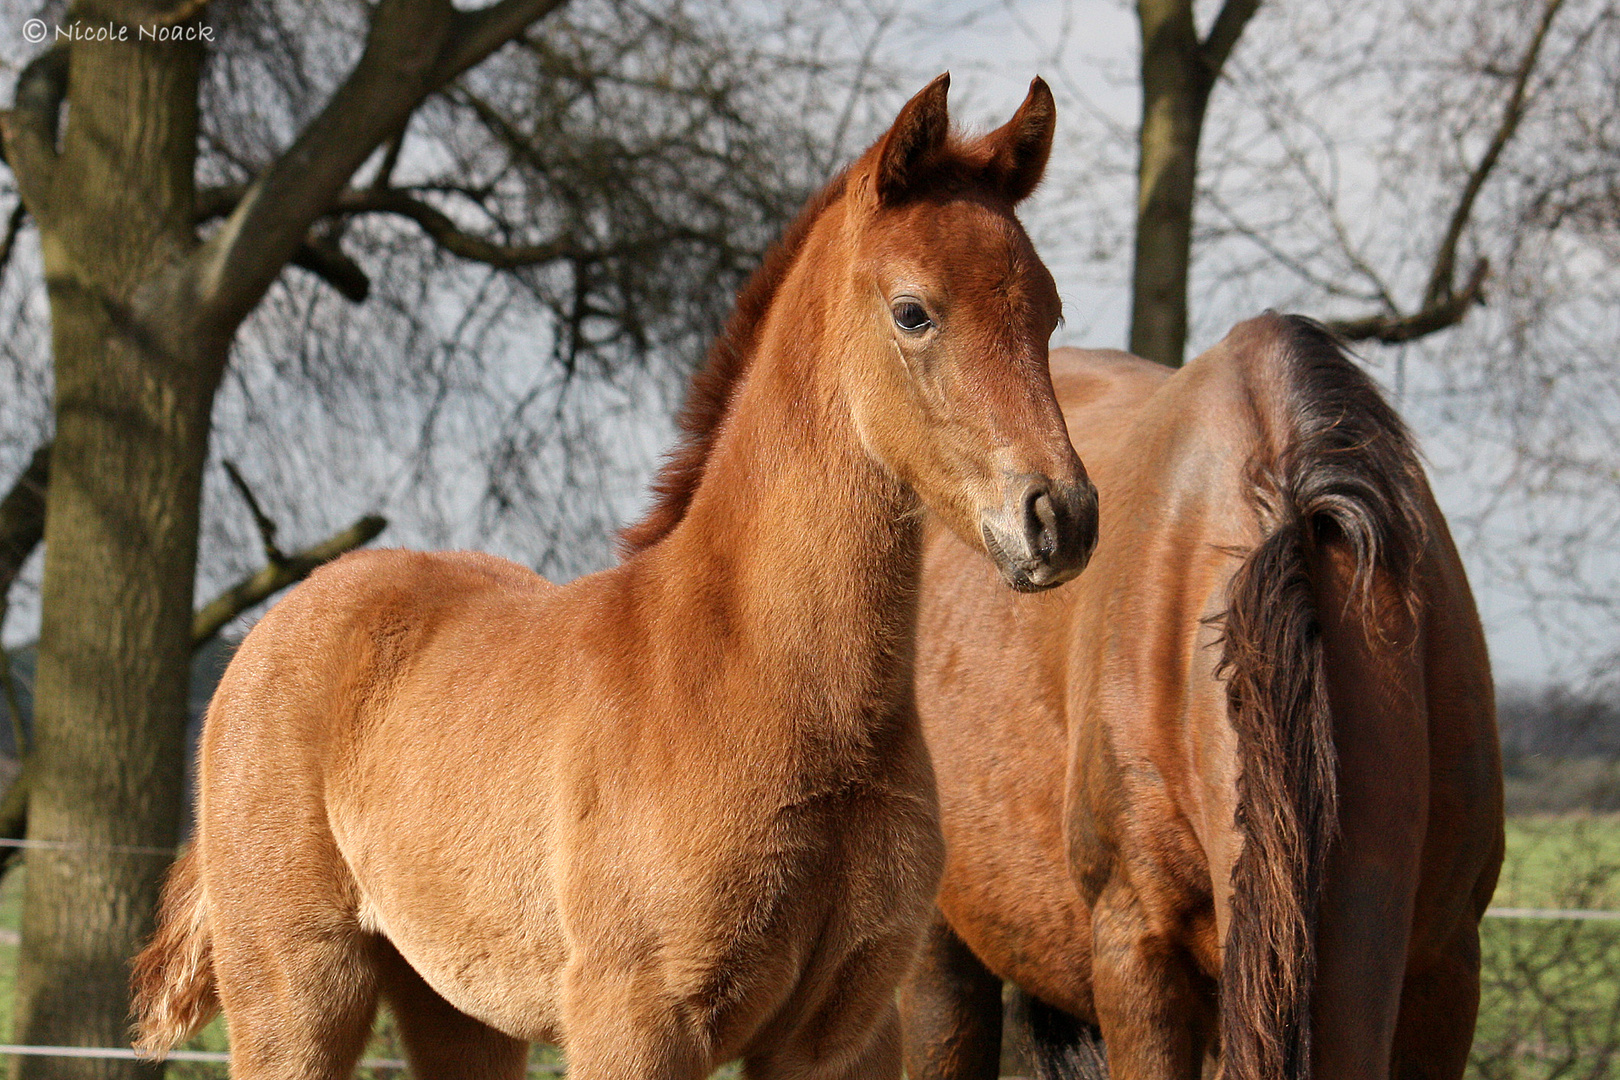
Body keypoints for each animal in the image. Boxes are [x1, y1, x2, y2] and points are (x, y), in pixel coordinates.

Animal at [132, 76, 1101, 1080]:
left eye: (1049, 313)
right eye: (914, 311)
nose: (1061, 517)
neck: (761, 681)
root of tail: (272, 631)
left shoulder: (848, 1029)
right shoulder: (636, 1015)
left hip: (457, 1007)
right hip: (293, 986)